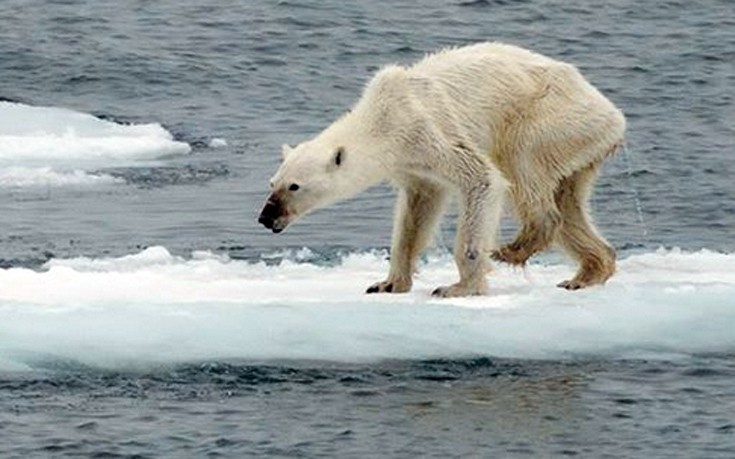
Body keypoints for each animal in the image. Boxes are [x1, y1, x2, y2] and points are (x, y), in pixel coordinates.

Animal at [258, 43, 628, 298]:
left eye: (294, 186)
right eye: (272, 182)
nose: (265, 217)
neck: (382, 118)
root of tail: (613, 115)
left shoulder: (426, 131)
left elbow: (482, 178)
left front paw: (459, 287)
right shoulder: (412, 164)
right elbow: (417, 211)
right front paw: (387, 283)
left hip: (550, 118)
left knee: (522, 164)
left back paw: (514, 248)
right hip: (580, 145)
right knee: (569, 201)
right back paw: (586, 273)